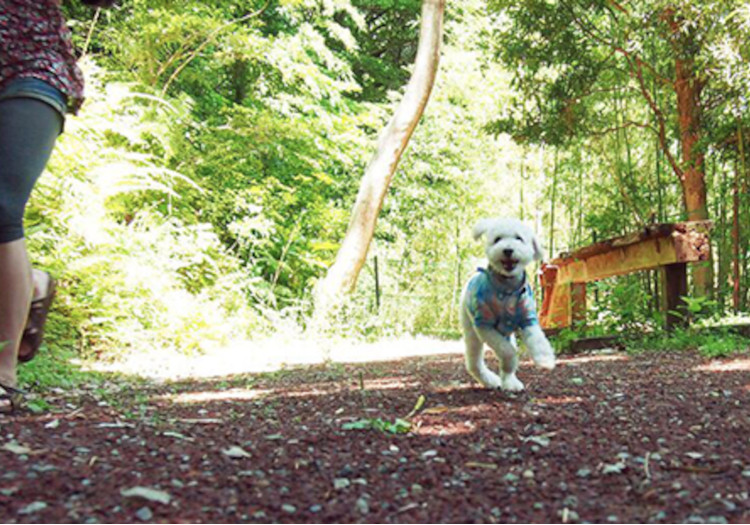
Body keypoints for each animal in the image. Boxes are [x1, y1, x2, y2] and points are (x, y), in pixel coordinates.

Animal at [458, 215, 560, 390]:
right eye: (497, 239)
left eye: (519, 238)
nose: (507, 250)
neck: (508, 289)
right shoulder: (484, 325)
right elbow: (507, 352)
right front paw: (511, 360)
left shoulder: (528, 318)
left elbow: (537, 339)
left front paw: (545, 359)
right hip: (471, 330)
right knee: (474, 363)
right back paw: (491, 380)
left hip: (506, 333)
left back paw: (510, 381)